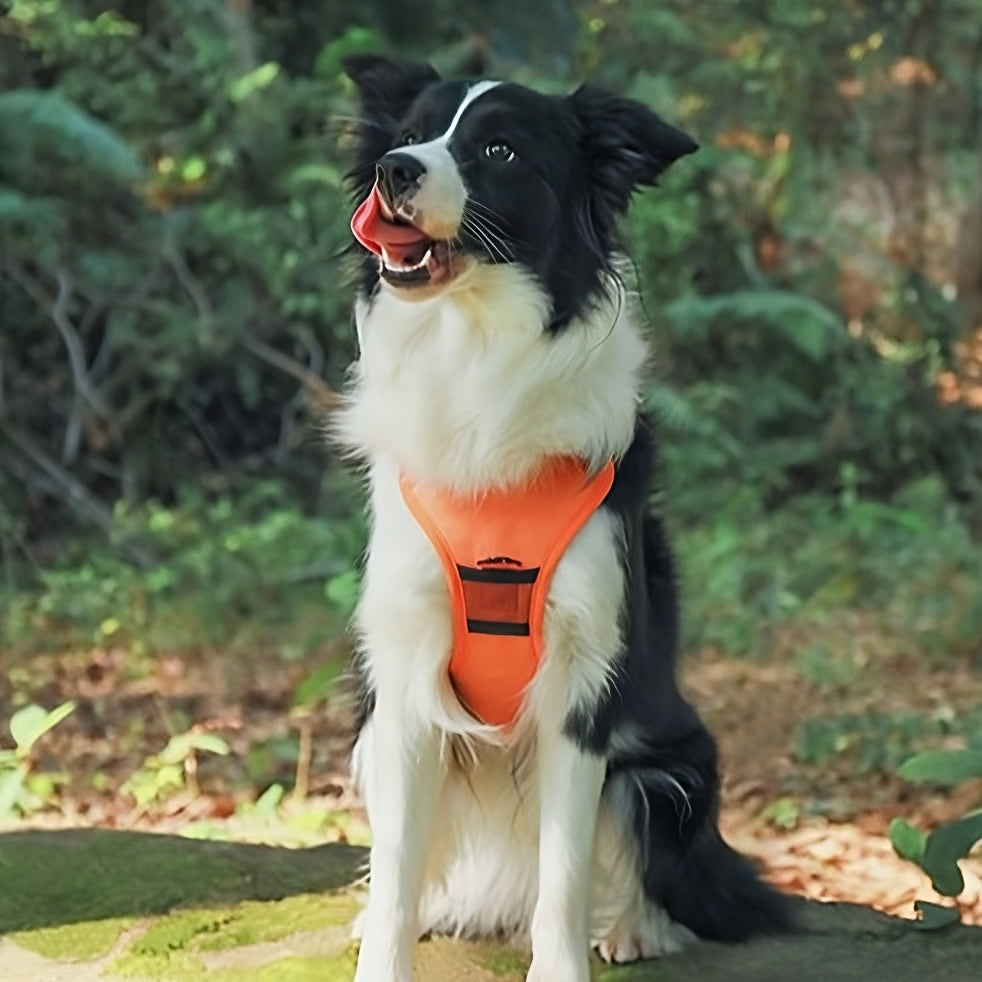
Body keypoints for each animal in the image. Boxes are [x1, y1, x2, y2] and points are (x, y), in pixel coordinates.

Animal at [334, 55, 796, 982]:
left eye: (500, 150)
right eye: (412, 134)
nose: (394, 171)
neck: (474, 353)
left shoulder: (582, 692)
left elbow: (565, 872)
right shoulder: (402, 681)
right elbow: (397, 866)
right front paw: (383, 948)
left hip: (669, 771)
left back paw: (630, 928)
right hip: (365, 737)